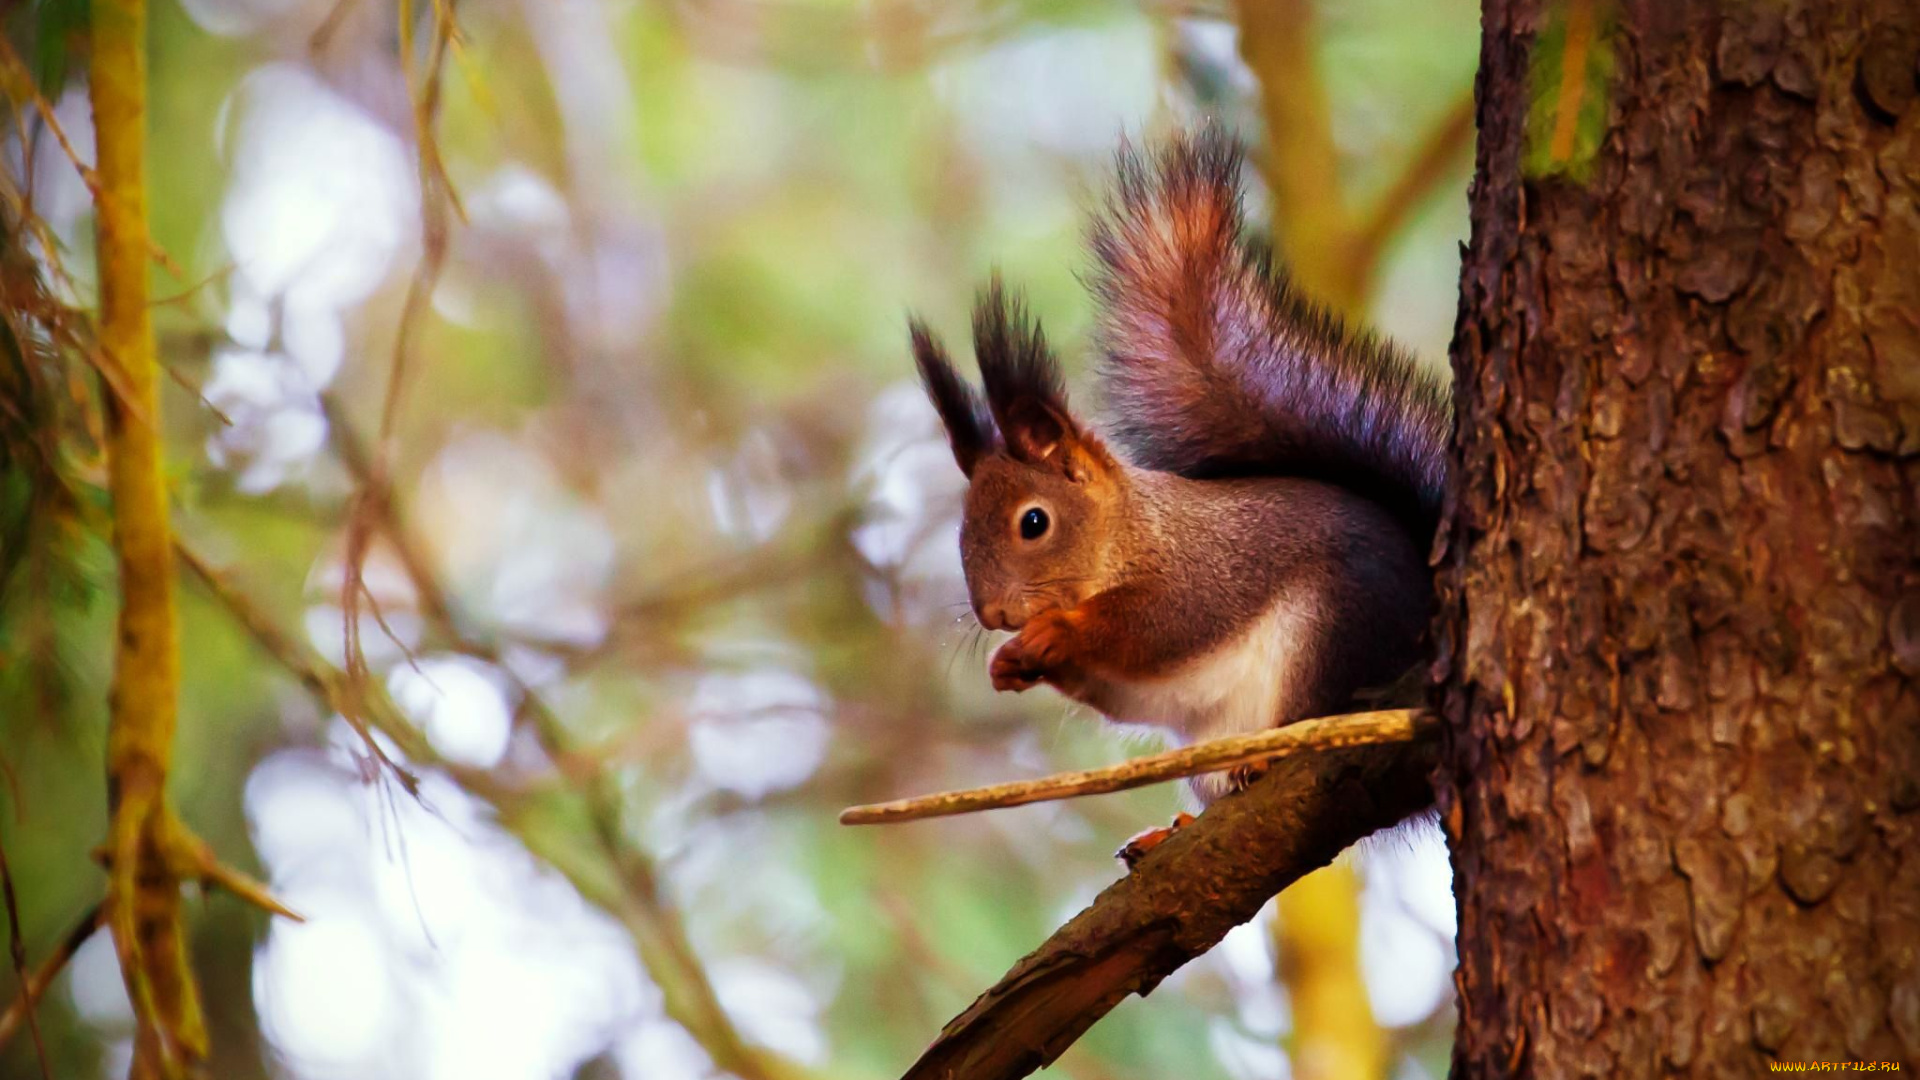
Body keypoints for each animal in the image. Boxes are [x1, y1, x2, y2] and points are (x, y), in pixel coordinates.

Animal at [906, 127, 1443, 834]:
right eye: (962, 529)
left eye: (1034, 521)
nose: (993, 616)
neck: (1131, 530)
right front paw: (1009, 663)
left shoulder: (1200, 571)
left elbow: (1158, 625)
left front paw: (1058, 632)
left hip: (1333, 638)